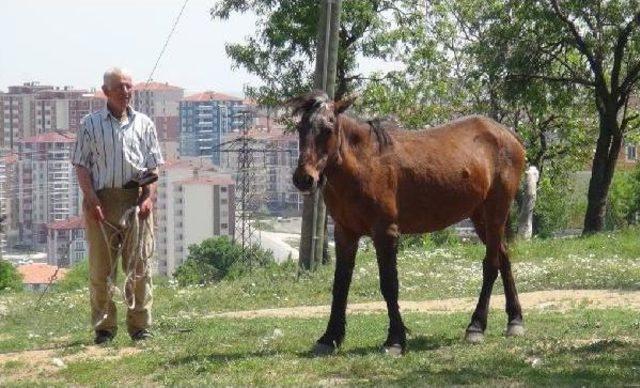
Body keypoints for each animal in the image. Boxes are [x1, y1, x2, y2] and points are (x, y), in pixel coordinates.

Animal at [290, 90, 524, 354]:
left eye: (327, 129)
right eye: (300, 127)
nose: (303, 178)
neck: (364, 162)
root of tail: (509, 136)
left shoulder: (385, 232)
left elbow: (389, 283)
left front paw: (395, 339)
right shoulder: (345, 233)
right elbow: (340, 283)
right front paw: (330, 337)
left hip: (496, 213)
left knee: (491, 265)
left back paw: (476, 326)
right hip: (480, 217)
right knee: (504, 259)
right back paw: (515, 320)